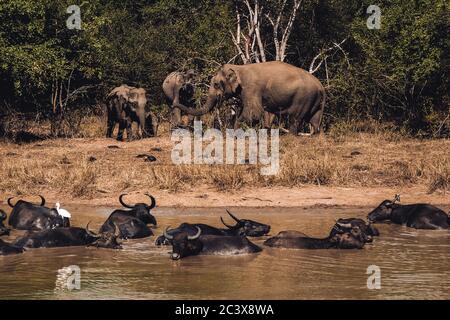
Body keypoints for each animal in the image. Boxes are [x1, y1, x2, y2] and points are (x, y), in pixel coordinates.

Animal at [172, 61, 324, 134]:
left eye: (215, 84)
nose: (173, 104)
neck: (239, 67)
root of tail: (321, 87)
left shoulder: (251, 88)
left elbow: (254, 114)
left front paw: (235, 132)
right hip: (316, 102)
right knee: (315, 122)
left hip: (303, 99)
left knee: (295, 119)